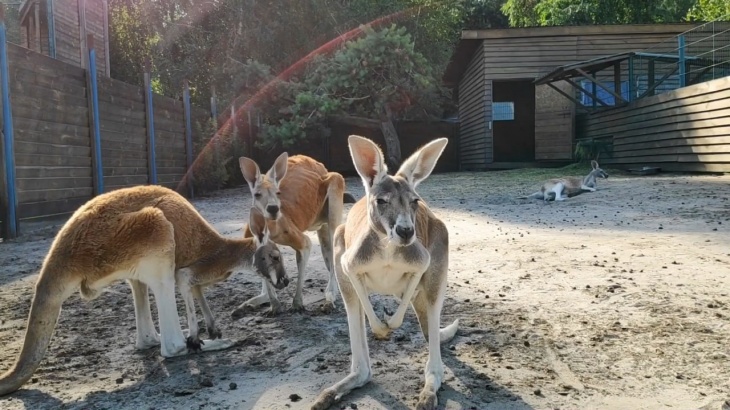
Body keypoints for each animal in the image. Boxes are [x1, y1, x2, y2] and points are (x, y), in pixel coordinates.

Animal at [0, 185, 287, 396]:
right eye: (275, 257)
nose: (284, 282)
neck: (224, 252)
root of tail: (62, 250)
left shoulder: (193, 275)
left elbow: (198, 294)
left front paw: (211, 328)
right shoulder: (188, 271)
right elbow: (189, 287)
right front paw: (202, 335)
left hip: (134, 259)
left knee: (145, 331)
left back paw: (172, 337)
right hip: (153, 233)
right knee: (170, 346)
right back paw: (210, 343)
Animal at [234, 153, 356, 316]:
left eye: (278, 193)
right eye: (257, 194)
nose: (273, 209)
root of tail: (318, 165)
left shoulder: (297, 236)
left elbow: (305, 248)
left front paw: (297, 304)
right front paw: (275, 306)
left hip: (335, 189)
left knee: (333, 245)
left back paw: (329, 300)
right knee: (328, 251)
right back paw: (246, 305)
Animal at [311, 136, 459, 410]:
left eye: (414, 201)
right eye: (381, 201)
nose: (406, 231)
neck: (389, 248)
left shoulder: (422, 260)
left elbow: (403, 307)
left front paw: (389, 323)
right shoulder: (349, 262)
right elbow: (359, 287)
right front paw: (381, 328)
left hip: (439, 254)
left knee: (432, 318)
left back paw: (428, 394)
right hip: (339, 243)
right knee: (362, 365)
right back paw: (328, 394)